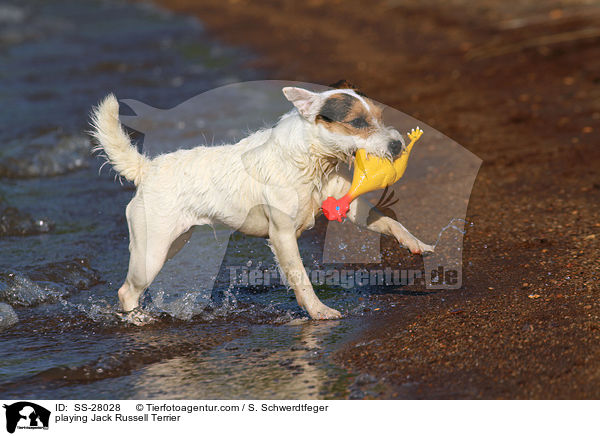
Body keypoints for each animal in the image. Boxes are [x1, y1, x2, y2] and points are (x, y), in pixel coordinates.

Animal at [91, 84, 434, 320]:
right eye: (358, 122)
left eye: (379, 116)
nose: (398, 145)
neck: (310, 161)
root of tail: (147, 168)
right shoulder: (281, 235)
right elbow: (300, 277)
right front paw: (318, 311)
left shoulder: (346, 205)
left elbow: (388, 221)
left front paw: (415, 243)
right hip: (151, 252)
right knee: (127, 291)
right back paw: (136, 319)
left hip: (172, 242)